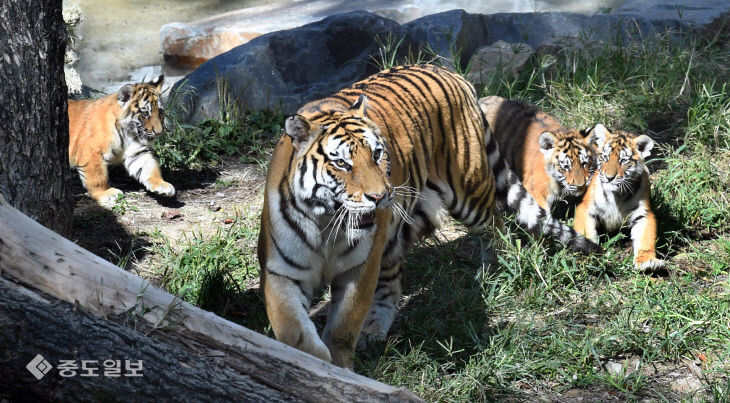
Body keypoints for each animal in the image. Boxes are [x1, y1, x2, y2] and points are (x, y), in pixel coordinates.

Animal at [69, 75, 176, 205]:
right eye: (145, 113)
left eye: (160, 112)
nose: (160, 132)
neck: (128, 133)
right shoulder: (91, 152)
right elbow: (97, 176)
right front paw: (105, 193)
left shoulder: (137, 153)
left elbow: (150, 167)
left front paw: (162, 185)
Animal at [256, 64, 596, 370]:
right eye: (341, 163)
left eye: (377, 154)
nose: (379, 197)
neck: (326, 223)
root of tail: (448, 71)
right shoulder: (281, 273)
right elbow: (296, 335)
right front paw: (313, 364)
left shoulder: (359, 268)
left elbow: (342, 329)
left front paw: (339, 367)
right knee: (392, 279)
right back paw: (375, 330)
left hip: (469, 192)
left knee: (495, 226)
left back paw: (495, 270)